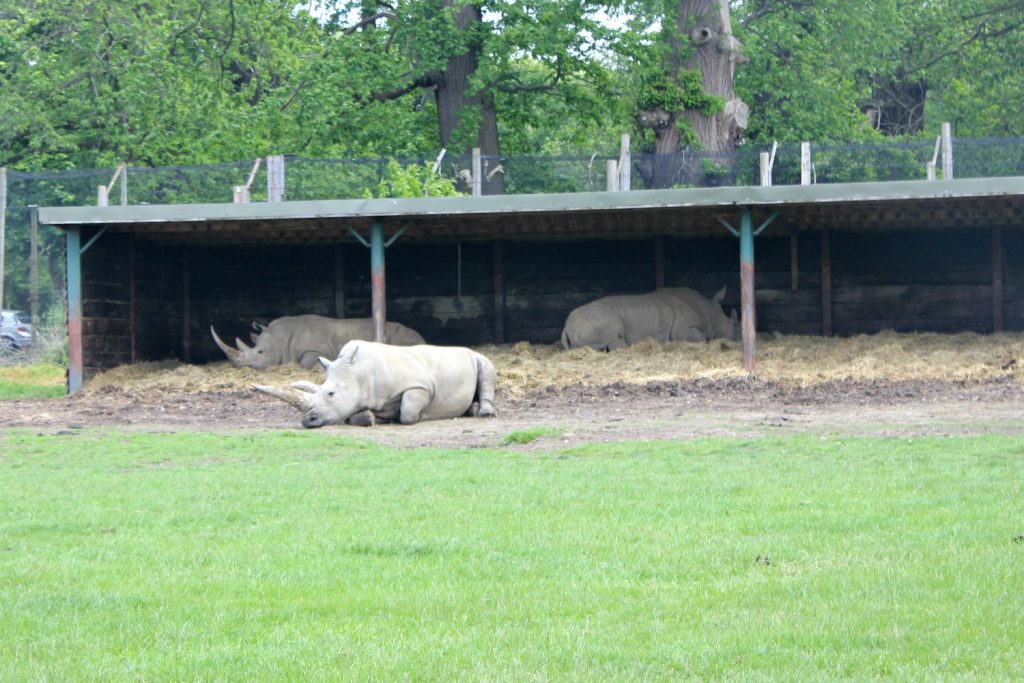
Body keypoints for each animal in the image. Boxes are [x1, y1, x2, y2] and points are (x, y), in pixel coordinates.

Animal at [211, 314, 425, 370]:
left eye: (260, 353)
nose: (237, 366)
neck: (281, 339)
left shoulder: (315, 350)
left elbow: (304, 365)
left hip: (404, 335)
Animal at [253, 340, 497, 428]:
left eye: (330, 394)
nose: (307, 421)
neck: (360, 374)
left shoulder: (419, 386)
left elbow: (408, 410)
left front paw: (419, 417)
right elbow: (356, 416)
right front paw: (371, 418)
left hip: (475, 356)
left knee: (485, 367)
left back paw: (484, 413)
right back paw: (469, 411)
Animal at [560, 286, 739, 351]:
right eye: (735, 325)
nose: (739, 339)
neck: (711, 313)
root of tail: (566, 326)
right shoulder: (684, 328)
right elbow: (701, 339)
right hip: (595, 320)